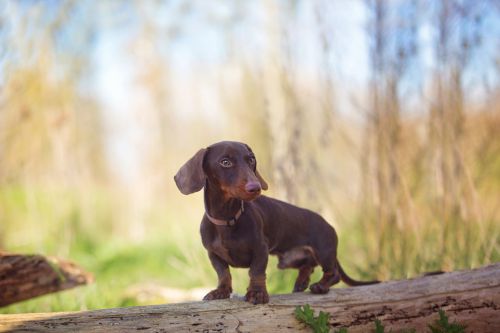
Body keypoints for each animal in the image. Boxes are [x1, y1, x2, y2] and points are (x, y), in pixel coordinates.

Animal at [174, 140, 376, 304]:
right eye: (225, 162)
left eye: (251, 160)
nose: (255, 187)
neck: (228, 218)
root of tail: (329, 224)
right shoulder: (213, 254)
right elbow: (223, 274)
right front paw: (220, 291)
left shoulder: (260, 249)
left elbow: (256, 272)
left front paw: (257, 293)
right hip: (289, 260)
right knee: (308, 266)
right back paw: (301, 282)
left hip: (324, 251)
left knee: (333, 273)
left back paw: (320, 286)